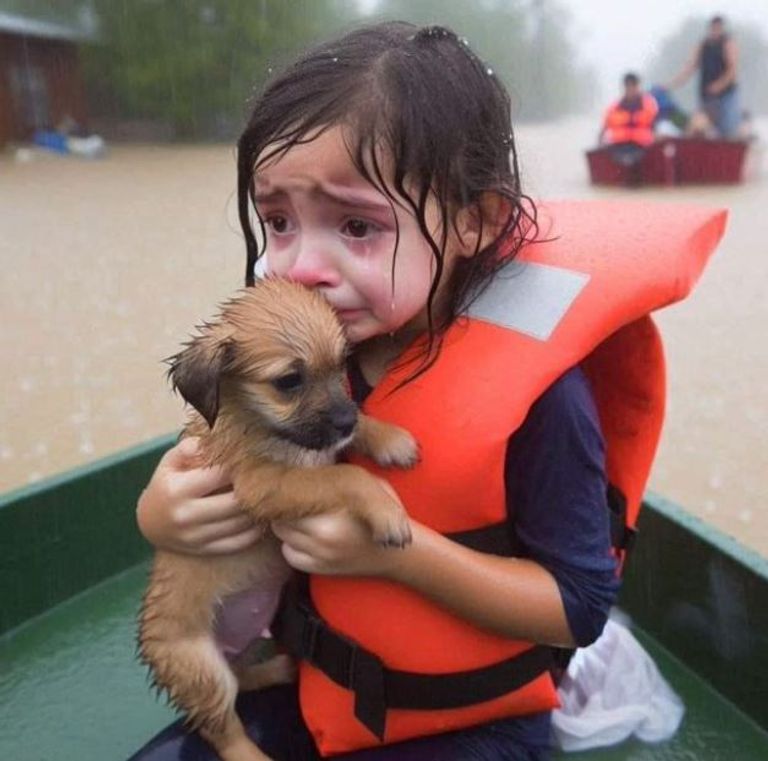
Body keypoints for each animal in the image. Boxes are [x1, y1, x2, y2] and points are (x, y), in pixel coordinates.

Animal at [138, 280, 414, 760]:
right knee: (223, 728)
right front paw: (385, 509)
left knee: (242, 680)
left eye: (341, 364)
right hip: (201, 669)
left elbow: (346, 445)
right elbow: (343, 475)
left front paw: (388, 438)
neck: (256, 422)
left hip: (240, 650)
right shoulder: (262, 484)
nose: (344, 421)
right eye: (289, 381)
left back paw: (280, 668)